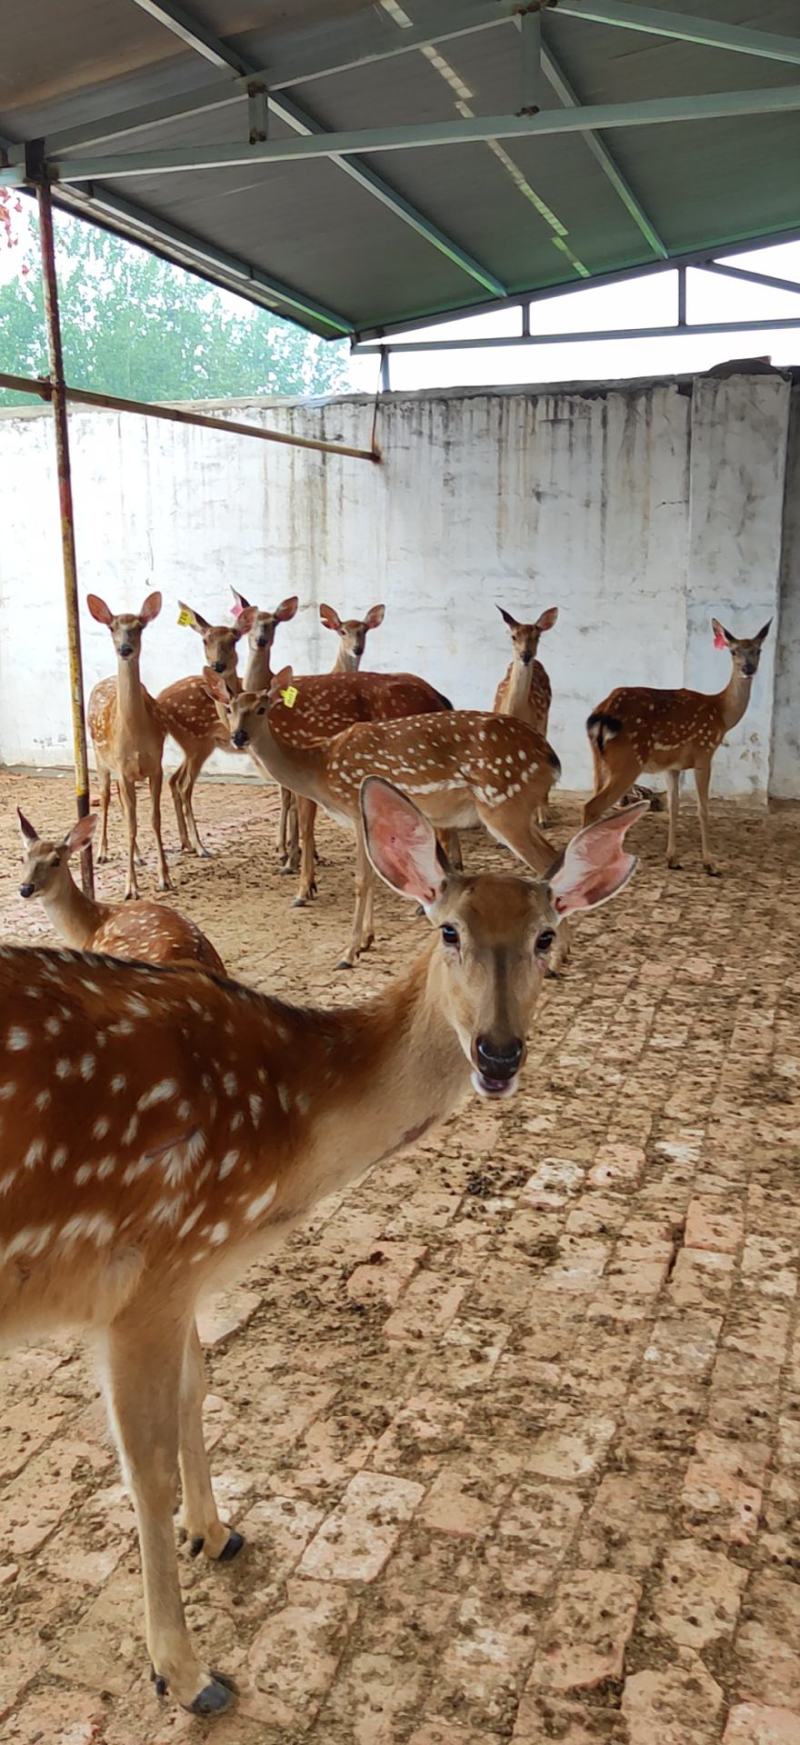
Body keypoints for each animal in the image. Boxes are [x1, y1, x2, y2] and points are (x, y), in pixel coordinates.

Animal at [87, 592, 171, 901]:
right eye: (112, 627)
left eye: (139, 627)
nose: (125, 648)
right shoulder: (122, 769)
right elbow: (131, 824)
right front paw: (130, 888)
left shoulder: (155, 765)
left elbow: (154, 819)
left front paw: (164, 878)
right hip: (100, 760)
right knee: (106, 800)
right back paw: (101, 852)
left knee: (124, 808)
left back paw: (137, 856)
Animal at [157, 597, 297, 859]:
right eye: (205, 640)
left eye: (234, 640)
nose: (217, 665)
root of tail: (159, 699)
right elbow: (289, 795)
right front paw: (285, 849)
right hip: (197, 741)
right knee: (183, 785)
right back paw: (200, 847)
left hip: (193, 745)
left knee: (173, 780)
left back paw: (186, 843)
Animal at [210, 666, 572, 969]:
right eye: (229, 708)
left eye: (262, 708)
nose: (239, 737)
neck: (320, 769)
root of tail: (551, 758)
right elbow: (373, 878)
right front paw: (366, 941)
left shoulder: (356, 810)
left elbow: (361, 880)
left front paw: (348, 953)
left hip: (504, 804)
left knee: (548, 862)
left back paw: (557, 957)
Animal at [494, 604, 559, 826]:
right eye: (514, 636)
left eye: (537, 636)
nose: (526, 655)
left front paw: (539, 816)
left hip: (544, 722)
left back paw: (543, 812)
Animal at [584, 617, 771, 875]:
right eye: (733, 651)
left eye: (758, 650)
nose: (748, 669)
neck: (722, 713)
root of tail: (601, 714)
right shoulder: (704, 752)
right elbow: (702, 809)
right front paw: (710, 863)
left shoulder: (671, 766)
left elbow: (674, 806)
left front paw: (672, 858)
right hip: (628, 760)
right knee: (592, 806)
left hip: (598, 759)